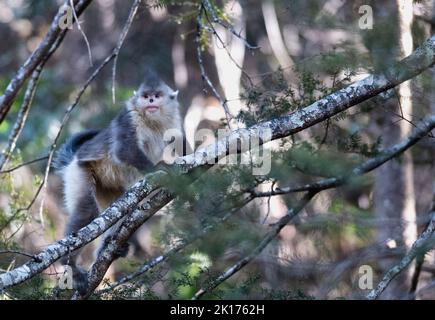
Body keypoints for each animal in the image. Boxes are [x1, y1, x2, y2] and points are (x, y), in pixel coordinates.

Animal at [54, 70, 187, 292]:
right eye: (145, 96)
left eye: (157, 95)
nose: (151, 100)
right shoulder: (129, 117)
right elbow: (124, 149)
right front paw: (159, 168)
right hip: (79, 172)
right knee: (87, 210)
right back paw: (70, 265)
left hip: (109, 187)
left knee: (124, 212)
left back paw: (107, 248)